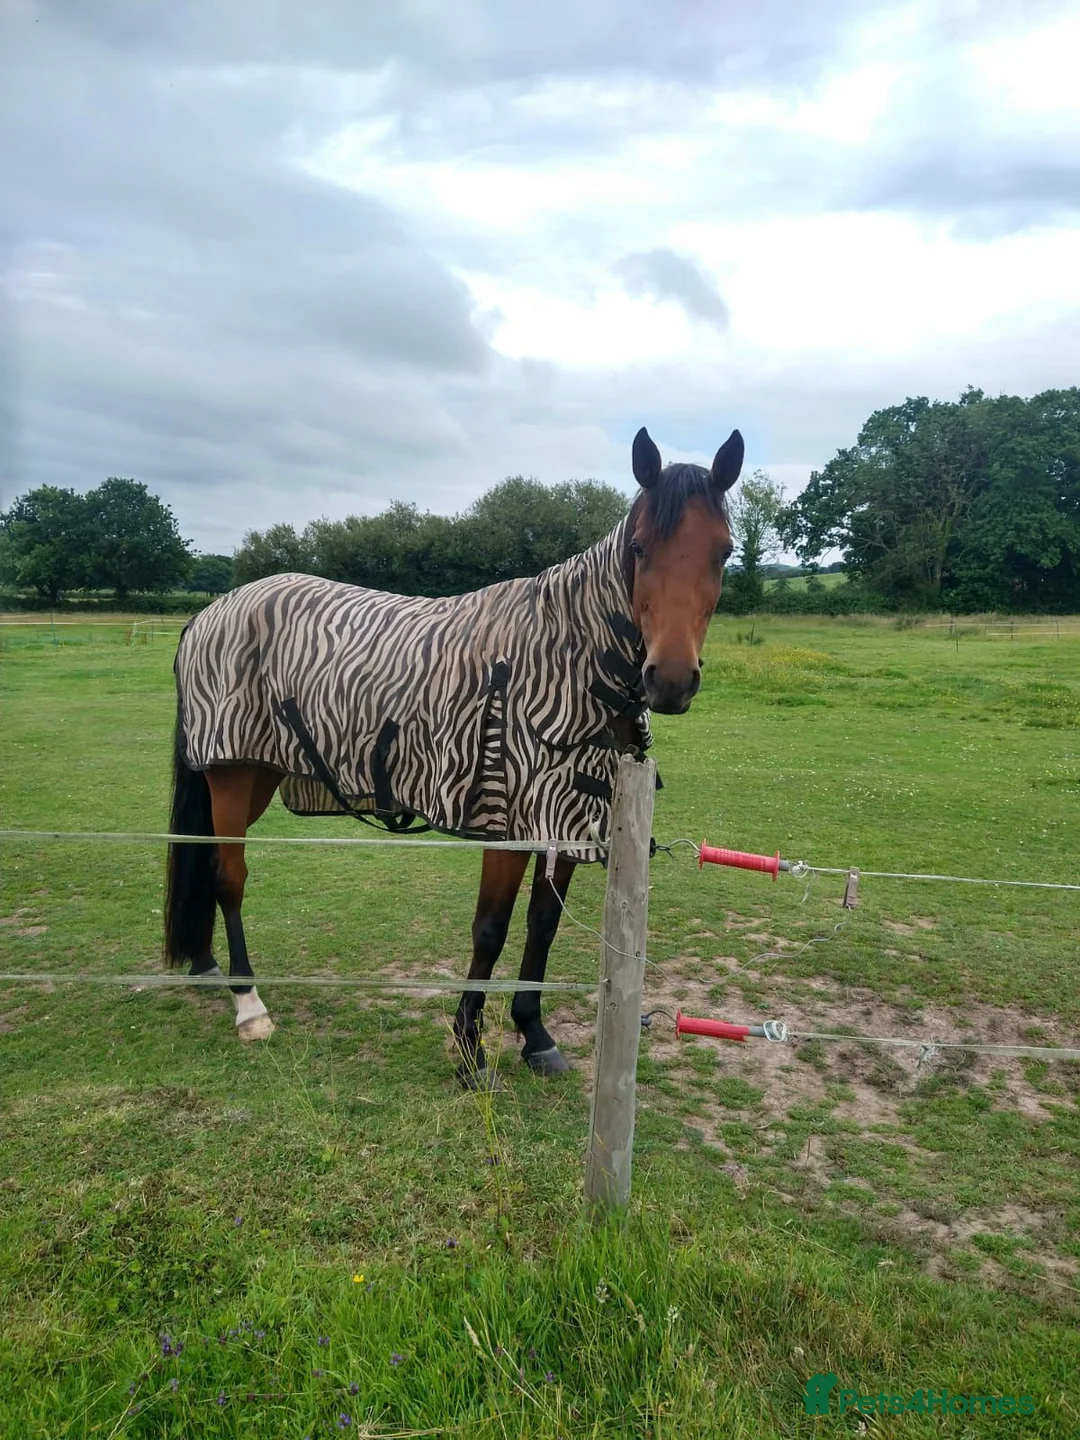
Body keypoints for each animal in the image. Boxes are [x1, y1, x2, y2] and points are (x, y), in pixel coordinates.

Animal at [163, 425, 742, 1085]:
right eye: (640, 548)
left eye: (723, 552)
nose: (669, 680)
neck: (565, 660)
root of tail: (211, 611)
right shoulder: (508, 818)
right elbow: (490, 929)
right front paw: (469, 1049)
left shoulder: (568, 814)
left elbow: (543, 923)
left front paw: (533, 1033)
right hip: (233, 773)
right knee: (228, 876)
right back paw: (248, 1002)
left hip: (257, 774)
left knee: (205, 860)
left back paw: (208, 965)